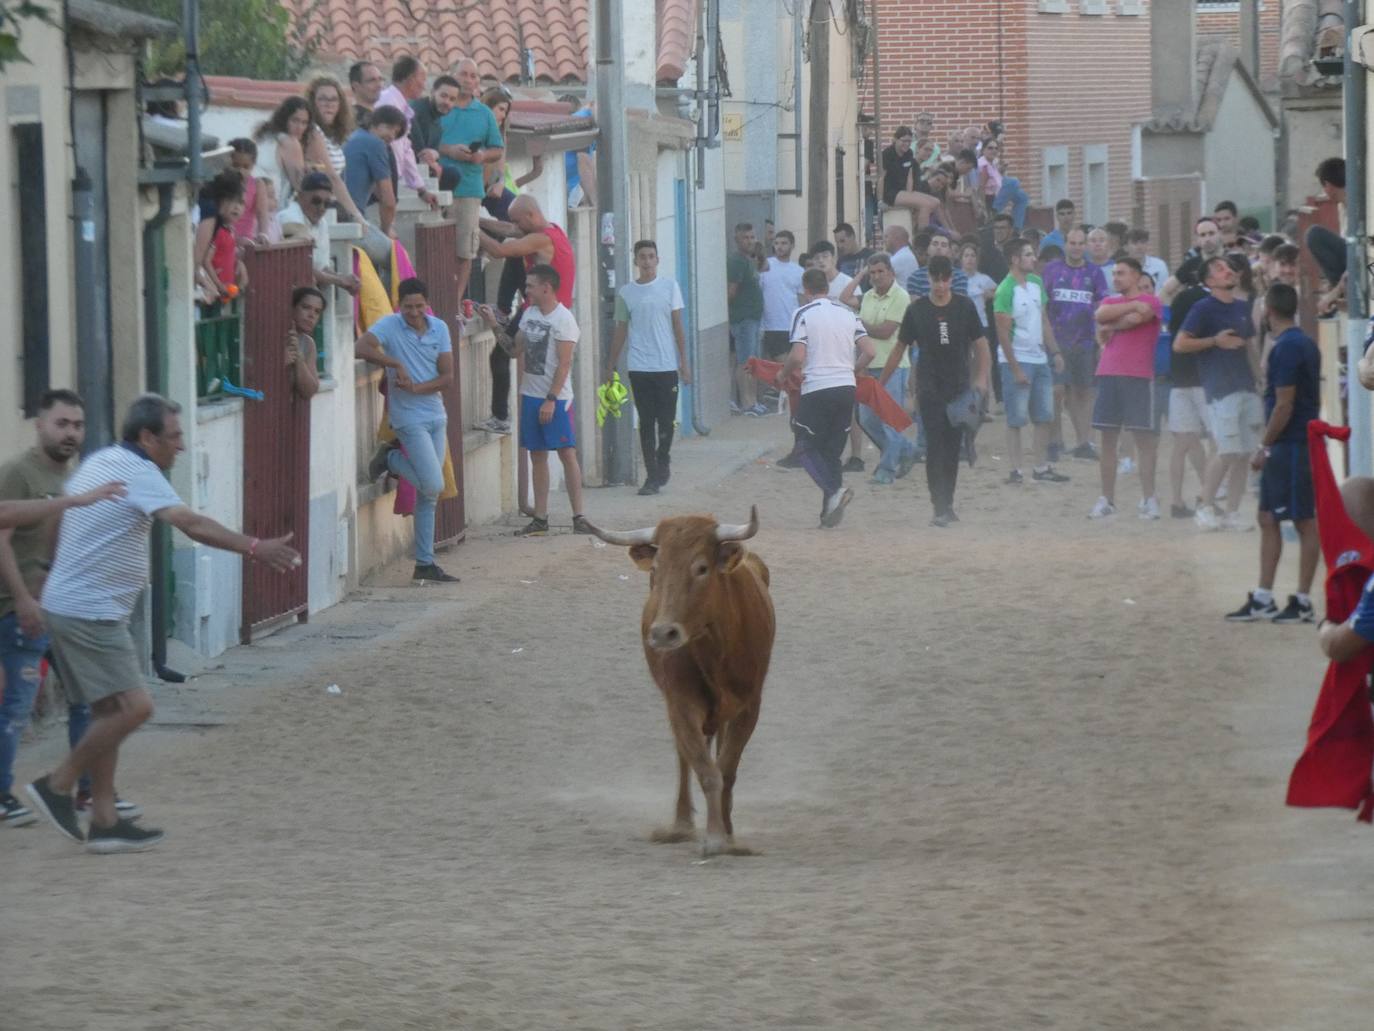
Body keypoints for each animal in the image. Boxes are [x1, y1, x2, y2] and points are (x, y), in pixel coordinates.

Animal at [579, 505, 774, 857]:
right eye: (657, 568)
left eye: (701, 568)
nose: (663, 633)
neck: (716, 648)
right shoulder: (681, 702)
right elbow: (706, 771)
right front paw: (713, 836)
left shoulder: (749, 705)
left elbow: (726, 769)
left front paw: (728, 835)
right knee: (686, 757)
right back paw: (681, 824)